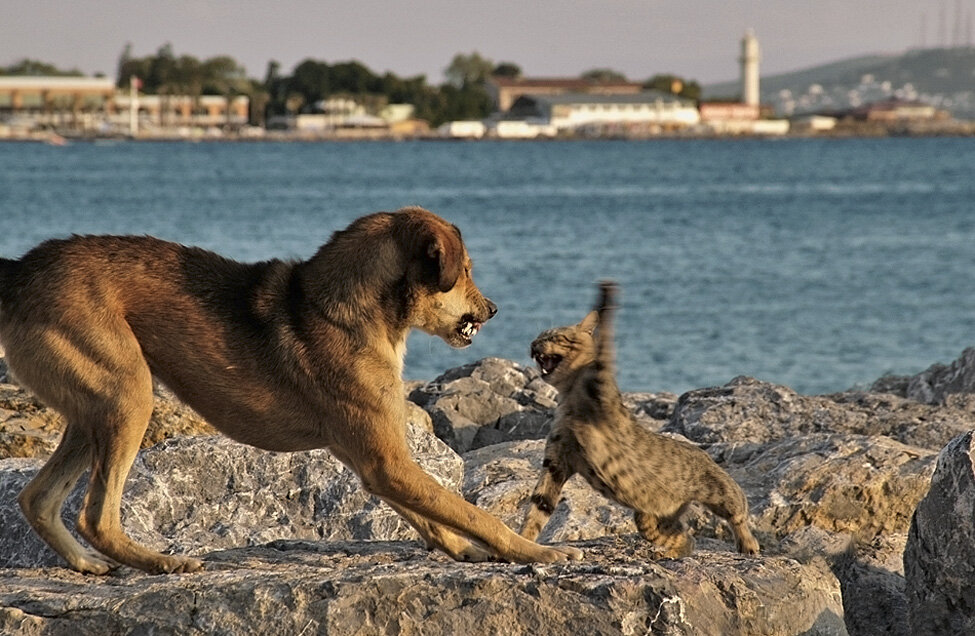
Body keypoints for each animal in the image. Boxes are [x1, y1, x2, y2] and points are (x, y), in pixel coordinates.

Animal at [0, 206, 580, 572]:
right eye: (464, 272)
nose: (493, 310)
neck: (349, 312)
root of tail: (19, 271)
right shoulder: (388, 462)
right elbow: (474, 513)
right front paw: (536, 553)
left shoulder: (375, 464)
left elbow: (432, 517)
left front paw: (465, 551)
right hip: (129, 397)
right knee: (94, 515)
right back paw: (161, 562)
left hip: (92, 411)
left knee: (36, 498)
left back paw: (86, 565)